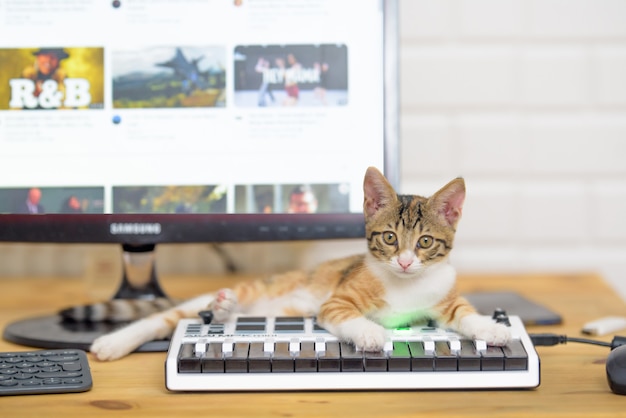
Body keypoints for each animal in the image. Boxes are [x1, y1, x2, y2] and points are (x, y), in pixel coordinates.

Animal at [85, 167, 510, 362]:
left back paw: (224, 308)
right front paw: (371, 334)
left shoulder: (444, 295)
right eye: (390, 238)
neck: (404, 284)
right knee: (164, 317)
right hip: (259, 290)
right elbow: (347, 315)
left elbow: (464, 313)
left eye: (424, 242)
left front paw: (491, 327)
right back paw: (112, 342)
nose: (405, 262)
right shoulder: (336, 300)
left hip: (282, 309)